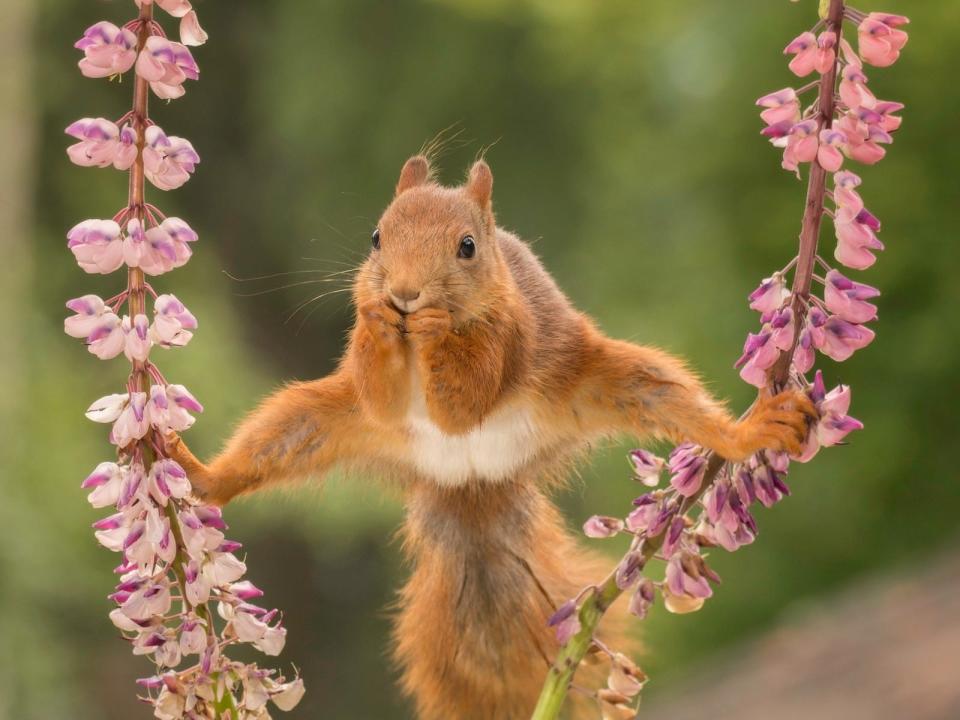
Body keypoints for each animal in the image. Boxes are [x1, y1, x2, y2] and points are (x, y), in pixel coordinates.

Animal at [169, 158, 812, 720]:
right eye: (376, 237)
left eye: (467, 247)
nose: (405, 294)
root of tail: (472, 480)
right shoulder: (372, 394)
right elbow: (379, 391)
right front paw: (379, 319)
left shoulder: (511, 335)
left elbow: (466, 397)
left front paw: (434, 329)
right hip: (314, 421)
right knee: (275, 440)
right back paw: (201, 475)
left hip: (606, 380)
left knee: (667, 396)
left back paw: (747, 432)